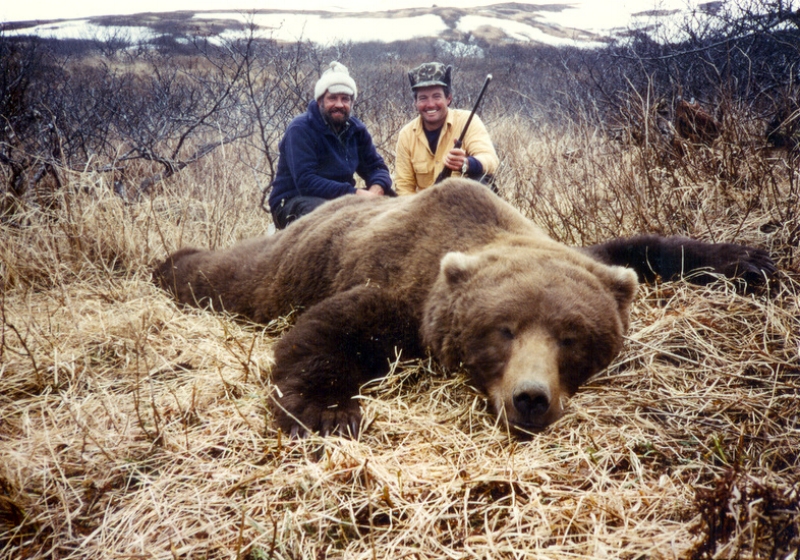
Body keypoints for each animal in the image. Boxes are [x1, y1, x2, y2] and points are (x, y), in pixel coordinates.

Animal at [153, 178, 775, 437]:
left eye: (571, 337)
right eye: (504, 330)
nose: (531, 398)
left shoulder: (574, 252)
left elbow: (635, 246)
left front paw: (750, 260)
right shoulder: (406, 293)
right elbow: (330, 329)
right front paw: (329, 413)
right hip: (286, 264)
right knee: (231, 274)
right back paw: (170, 263)